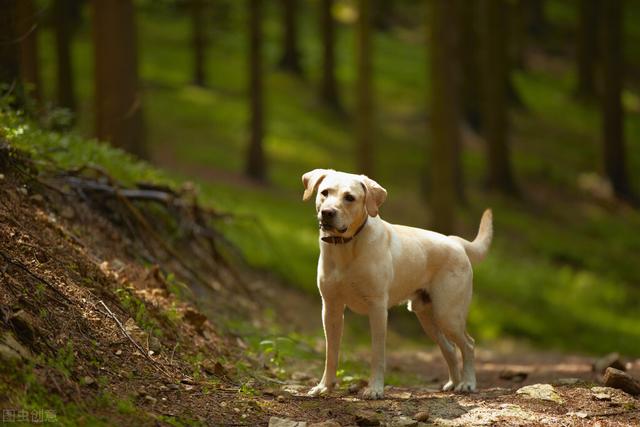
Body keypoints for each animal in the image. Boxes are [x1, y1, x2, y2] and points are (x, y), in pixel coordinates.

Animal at [302, 169, 492, 400]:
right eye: (324, 192)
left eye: (349, 197)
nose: (327, 213)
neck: (346, 247)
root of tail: (456, 242)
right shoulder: (331, 308)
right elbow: (331, 352)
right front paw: (324, 386)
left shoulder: (377, 308)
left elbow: (377, 354)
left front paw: (375, 389)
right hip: (427, 316)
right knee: (449, 348)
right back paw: (453, 383)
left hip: (448, 314)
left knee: (468, 345)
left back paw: (467, 383)